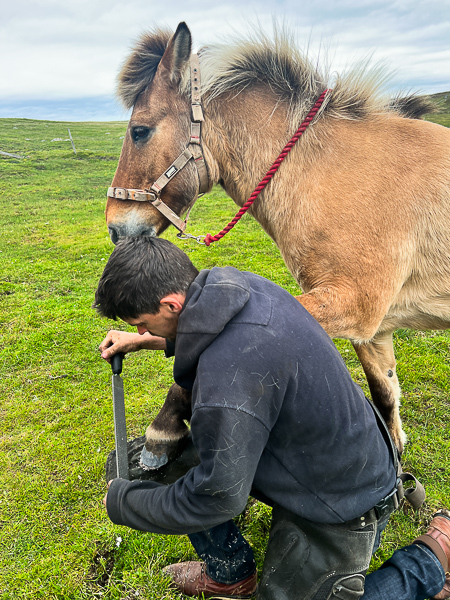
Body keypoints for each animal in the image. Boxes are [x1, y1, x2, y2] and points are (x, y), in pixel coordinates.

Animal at [104, 21, 450, 464]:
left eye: (140, 131)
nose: (116, 229)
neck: (331, 174)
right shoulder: (374, 328)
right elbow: (385, 393)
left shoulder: (354, 305)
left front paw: (160, 433)